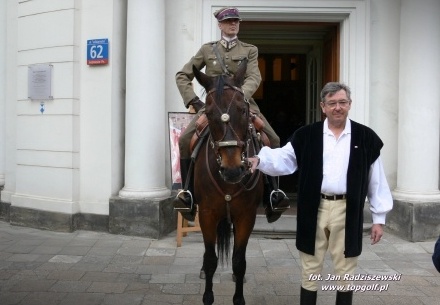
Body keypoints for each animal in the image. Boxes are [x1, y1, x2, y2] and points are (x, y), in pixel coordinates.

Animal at [192, 60, 262, 304]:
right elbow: (211, 259)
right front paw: (207, 296)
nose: (232, 170)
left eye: (243, 110)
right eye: (208, 113)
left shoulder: (246, 216)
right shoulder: (206, 214)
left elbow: (239, 261)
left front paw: (238, 298)